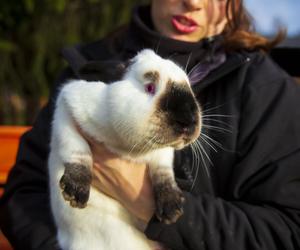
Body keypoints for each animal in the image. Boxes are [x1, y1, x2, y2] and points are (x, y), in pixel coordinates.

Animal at [48, 48, 202, 250]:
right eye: (150, 88)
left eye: (189, 88)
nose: (188, 121)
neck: (124, 145)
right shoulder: (66, 114)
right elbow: (78, 150)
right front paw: (75, 194)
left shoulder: (162, 153)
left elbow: (163, 172)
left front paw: (172, 210)